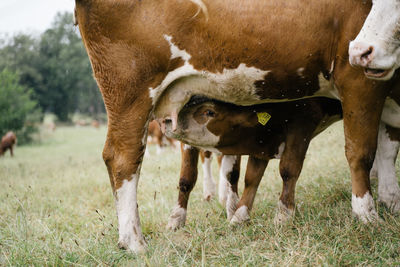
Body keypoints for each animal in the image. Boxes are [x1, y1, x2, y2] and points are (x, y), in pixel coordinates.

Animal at [74, 0, 396, 253]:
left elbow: (385, 149)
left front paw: (389, 202)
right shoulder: (359, 75)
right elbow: (361, 152)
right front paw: (367, 216)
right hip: (131, 90)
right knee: (123, 158)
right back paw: (134, 241)